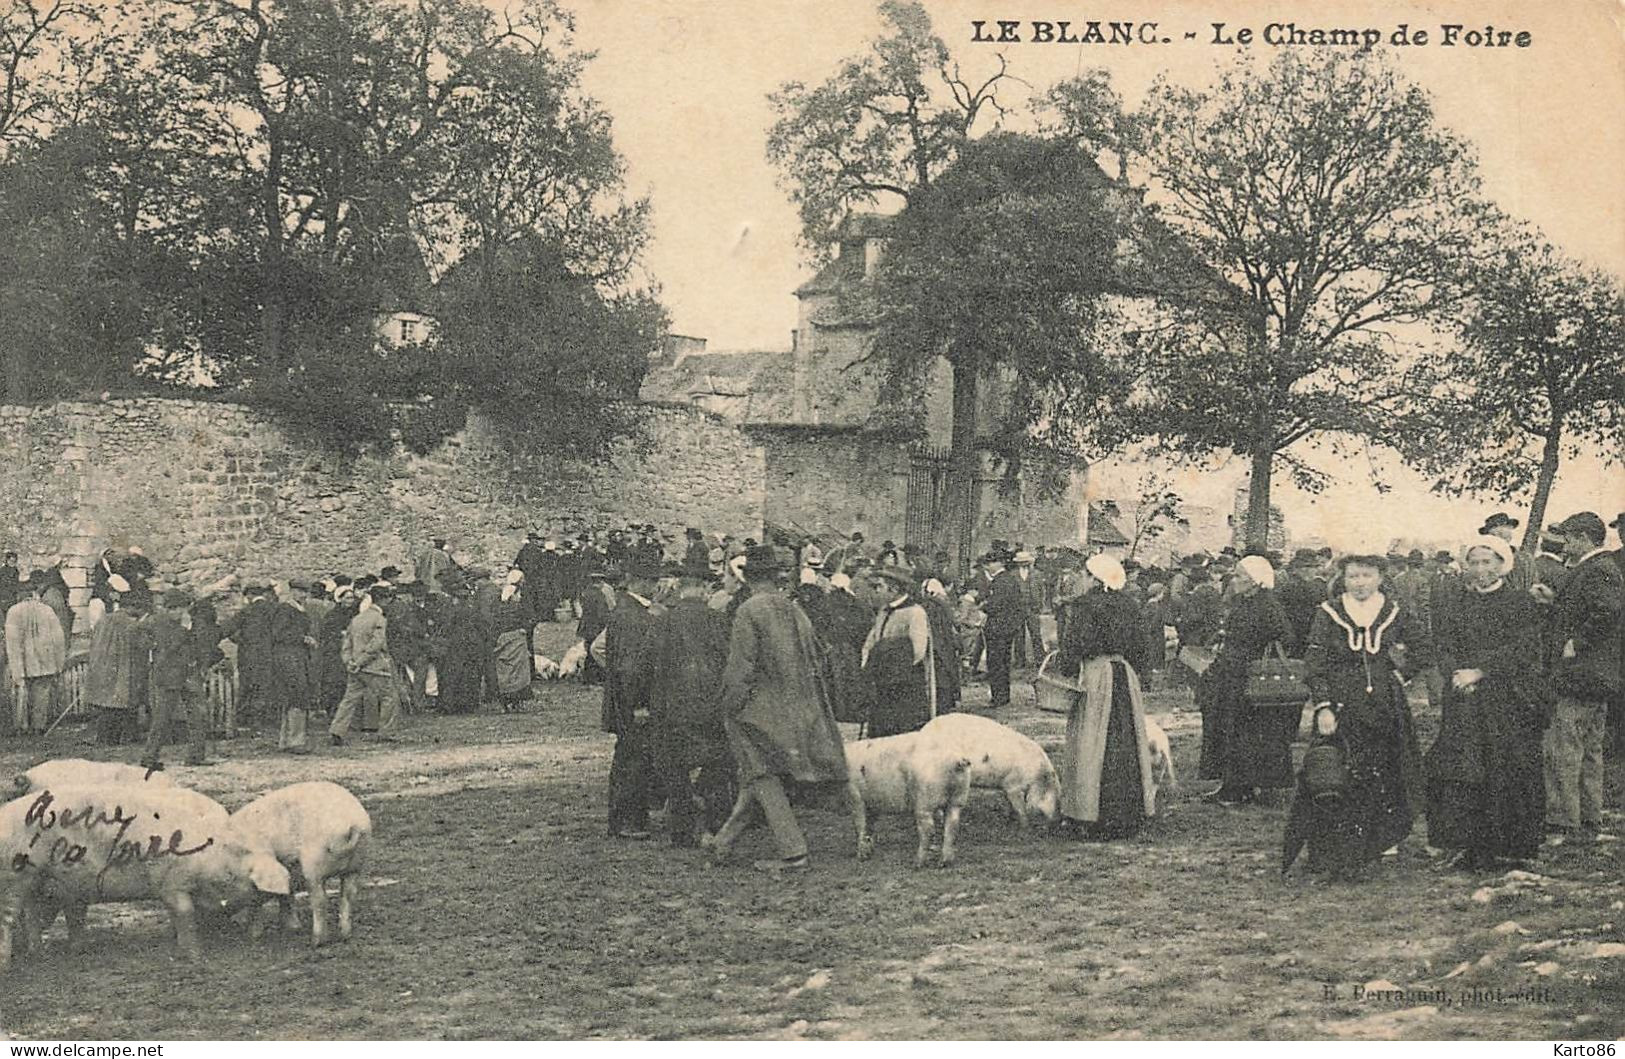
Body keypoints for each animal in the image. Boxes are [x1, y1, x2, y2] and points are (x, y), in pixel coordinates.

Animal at [0, 782, 289, 974]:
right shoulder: (172, 883)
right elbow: (184, 914)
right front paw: (195, 956)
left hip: (35, 881)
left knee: (32, 915)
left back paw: (42, 954)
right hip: (16, 876)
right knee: (10, 918)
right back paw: (8, 964)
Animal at [229, 782, 372, 948]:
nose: (234, 921)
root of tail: (352, 824)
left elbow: (258, 901)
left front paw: (253, 934)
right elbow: (286, 896)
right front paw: (292, 927)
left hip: (314, 867)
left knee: (320, 900)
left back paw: (315, 941)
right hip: (355, 865)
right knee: (348, 895)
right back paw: (345, 936)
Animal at [845, 727, 968, 870]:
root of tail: (957, 759)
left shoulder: (855, 796)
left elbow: (859, 826)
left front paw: (861, 857)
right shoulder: (871, 803)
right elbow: (870, 825)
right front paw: (869, 851)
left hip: (925, 800)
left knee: (928, 828)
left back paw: (917, 863)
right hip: (958, 799)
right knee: (952, 825)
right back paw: (944, 863)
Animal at [923, 711, 1059, 828]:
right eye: (1053, 794)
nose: (1059, 820)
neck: (1036, 774)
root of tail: (924, 731)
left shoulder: (1007, 786)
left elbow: (1011, 805)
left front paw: (1009, 820)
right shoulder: (1012, 786)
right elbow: (1021, 809)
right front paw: (1025, 828)